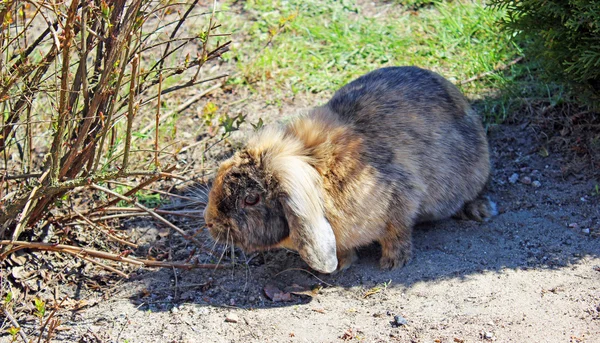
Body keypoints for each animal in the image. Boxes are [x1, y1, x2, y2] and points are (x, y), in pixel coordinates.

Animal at [204, 66, 494, 274]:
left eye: (251, 199)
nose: (210, 223)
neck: (321, 179)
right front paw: (342, 264)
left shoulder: (402, 198)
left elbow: (397, 232)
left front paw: (393, 262)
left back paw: (480, 210)